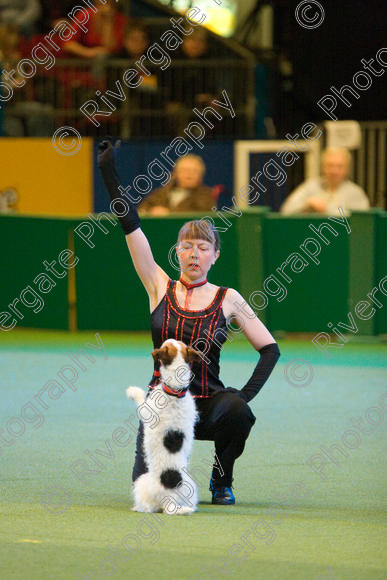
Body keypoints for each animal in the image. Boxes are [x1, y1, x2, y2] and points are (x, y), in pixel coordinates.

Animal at [126, 338, 203, 516]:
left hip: (141, 483)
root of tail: (170, 501)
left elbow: (140, 398)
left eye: (165, 347)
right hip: (191, 490)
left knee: (147, 507)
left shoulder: (146, 410)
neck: (175, 390)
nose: (168, 339)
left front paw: (132, 391)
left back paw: (137, 507)